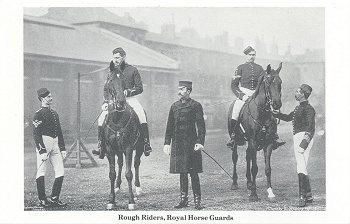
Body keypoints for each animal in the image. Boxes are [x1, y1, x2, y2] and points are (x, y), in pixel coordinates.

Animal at [100, 68, 144, 210]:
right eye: (110, 80)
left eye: (124, 80)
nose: (120, 102)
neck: (117, 119)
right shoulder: (110, 148)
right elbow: (112, 173)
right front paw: (111, 200)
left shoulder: (128, 148)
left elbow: (129, 173)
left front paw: (131, 201)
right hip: (118, 150)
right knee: (119, 164)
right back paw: (118, 186)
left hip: (139, 148)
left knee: (136, 164)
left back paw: (138, 188)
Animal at [228, 62, 284, 201]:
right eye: (268, 82)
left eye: (280, 82)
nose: (277, 104)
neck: (262, 113)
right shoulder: (253, 141)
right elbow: (254, 168)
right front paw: (253, 194)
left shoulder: (268, 143)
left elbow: (268, 168)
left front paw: (270, 192)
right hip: (236, 141)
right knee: (235, 158)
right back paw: (235, 183)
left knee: (248, 155)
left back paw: (249, 182)